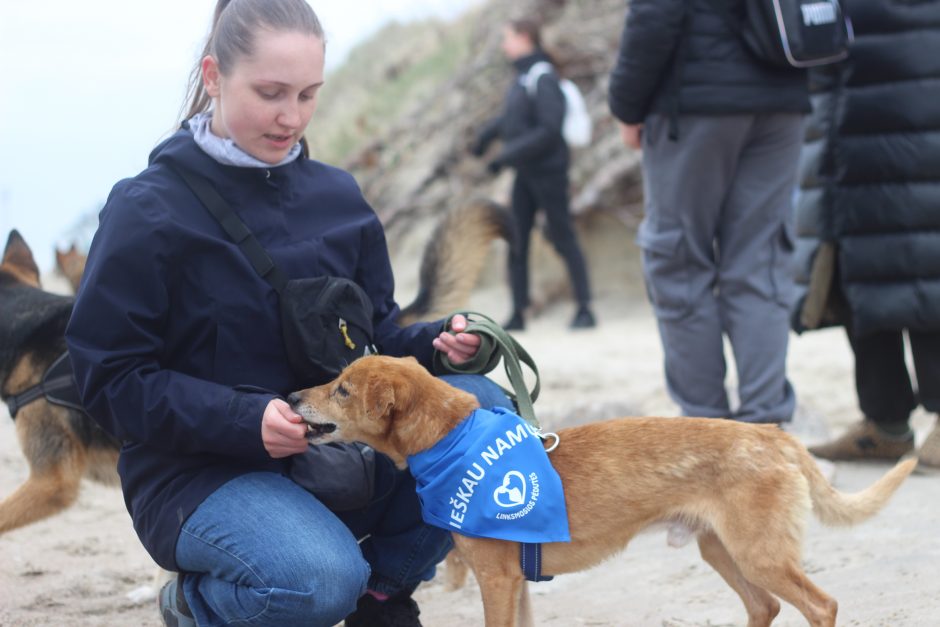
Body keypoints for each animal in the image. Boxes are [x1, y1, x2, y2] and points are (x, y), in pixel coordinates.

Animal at [288, 356, 916, 624]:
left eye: (342, 389)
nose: (291, 397)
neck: (455, 439)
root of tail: (772, 434)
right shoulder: (516, 585)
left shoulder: (497, 580)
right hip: (722, 550)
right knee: (765, 606)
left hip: (759, 554)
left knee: (821, 605)